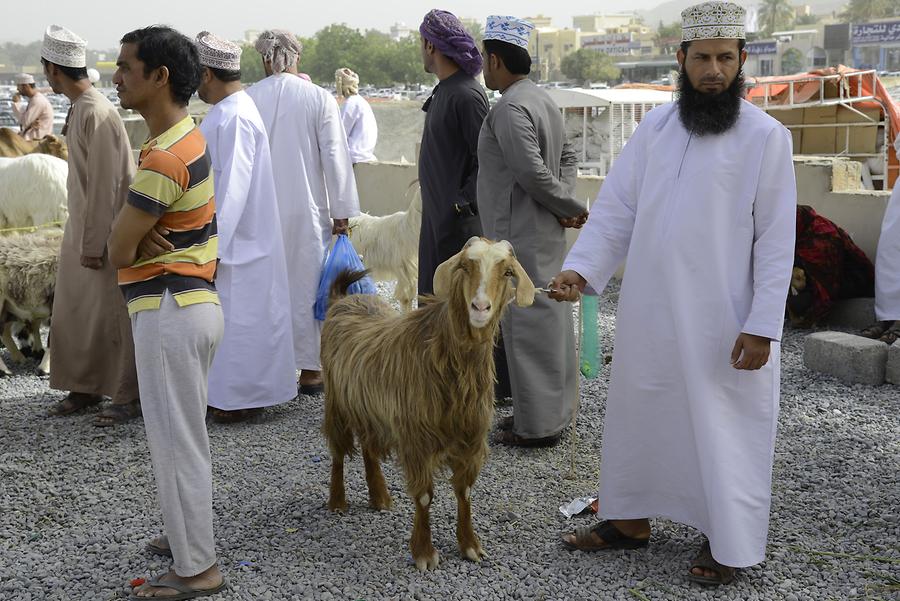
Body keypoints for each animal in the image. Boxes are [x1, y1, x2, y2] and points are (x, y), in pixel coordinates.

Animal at [322, 236, 536, 572]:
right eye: (465, 266)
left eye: (506, 272)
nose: (480, 307)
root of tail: (343, 300)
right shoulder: (417, 438)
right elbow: (424, 495)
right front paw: (424, 552)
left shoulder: (471, 437)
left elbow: (464, 491)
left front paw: (470, 545)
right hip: (337, 402)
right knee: (338, 452)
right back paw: (338, 502)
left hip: (370, 407)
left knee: (369, 446)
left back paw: (380, 497)